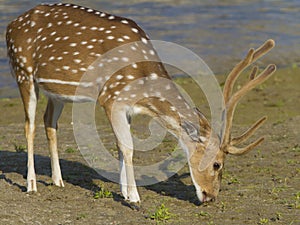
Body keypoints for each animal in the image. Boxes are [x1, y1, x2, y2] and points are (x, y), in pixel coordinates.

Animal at [5, 2, 276, 205]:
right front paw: (134, 197)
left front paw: (125, 191)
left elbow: (119, 145)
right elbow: (128, 147)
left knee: (49, 123)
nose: (211, 196)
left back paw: (58, 180)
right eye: (218, 163)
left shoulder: (126, 107)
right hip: (23, 72)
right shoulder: (111, 98)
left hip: (56, 91)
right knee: (29, 126)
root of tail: (10, 25)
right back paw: (31, 184)